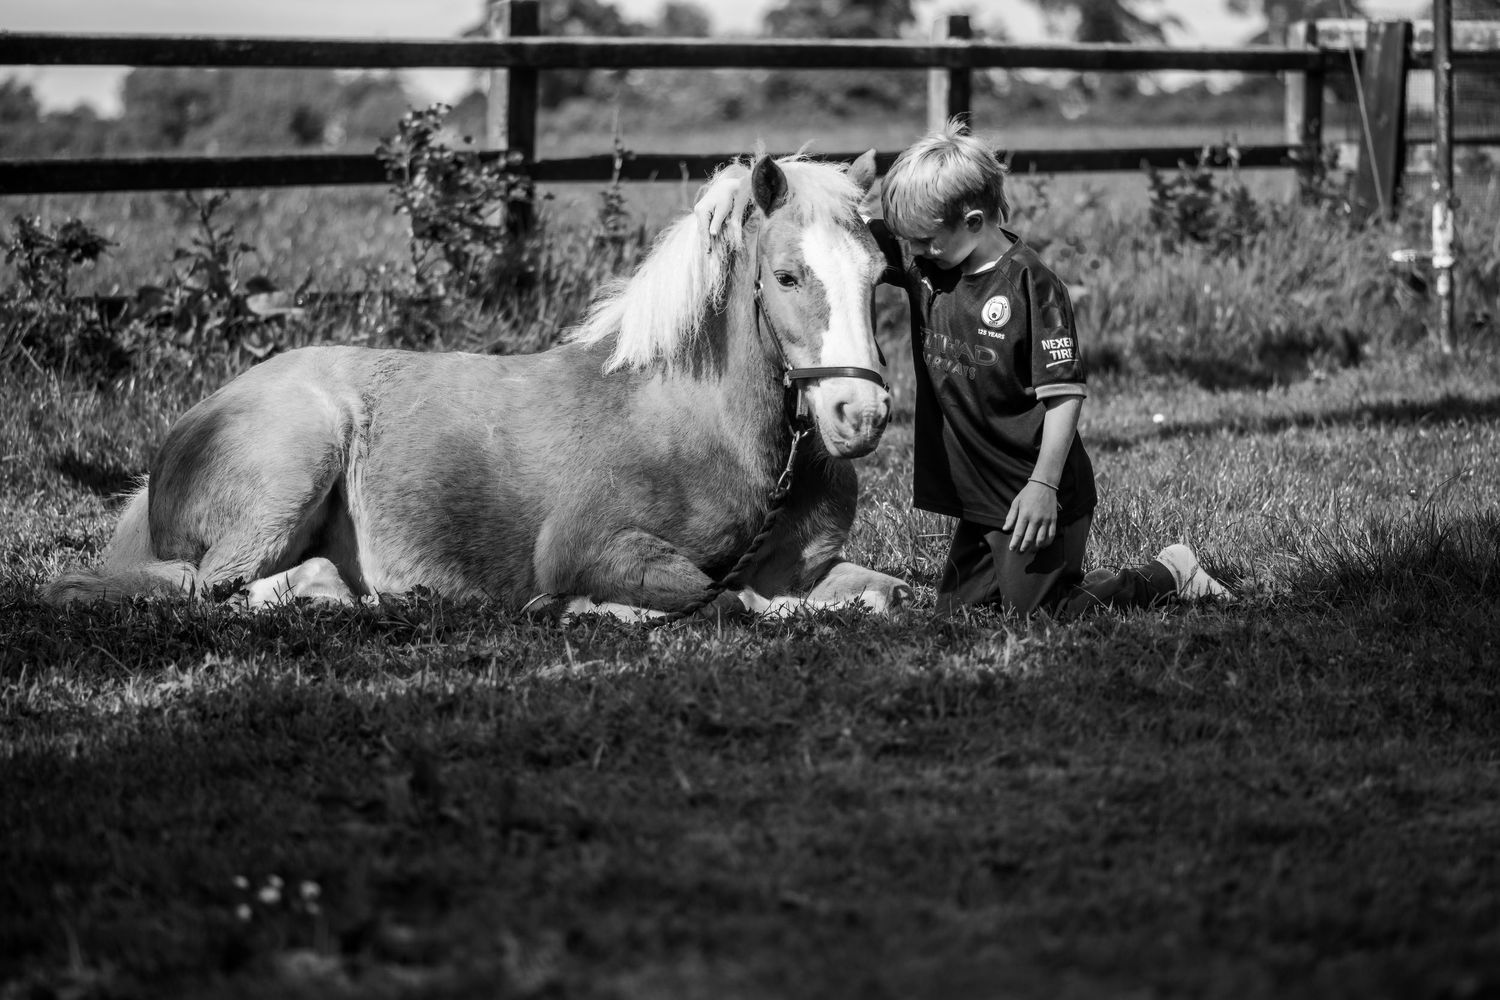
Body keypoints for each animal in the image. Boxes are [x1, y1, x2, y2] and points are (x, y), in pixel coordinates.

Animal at [43, 150, 912, 620]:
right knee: (201, 582)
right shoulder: (595, 550)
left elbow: (883, 592)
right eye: (788, 276)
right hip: (288, 474)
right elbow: (719, 596)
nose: (859, 414)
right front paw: (585, 612)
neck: (710, 429)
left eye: (880, 274)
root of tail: (185, 432)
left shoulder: (803, 566)